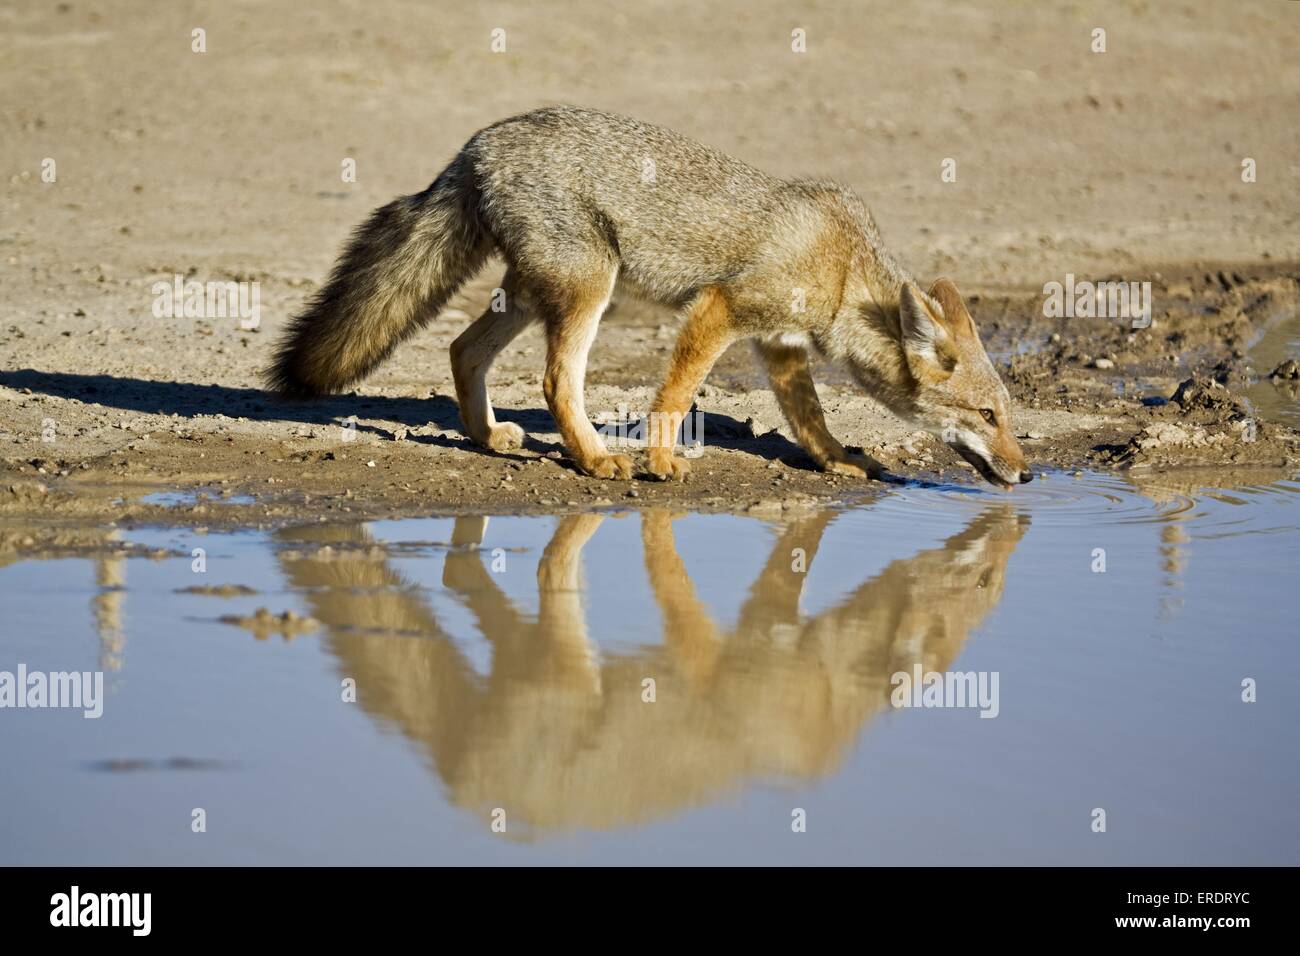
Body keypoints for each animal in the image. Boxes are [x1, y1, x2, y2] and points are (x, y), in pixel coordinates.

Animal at [266, 106, 1034, 486]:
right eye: (988, 416)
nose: (1029, 477)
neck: (845, 268)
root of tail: (479, 142)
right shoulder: (720, 310)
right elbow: (675, 393)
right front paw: (662, 461)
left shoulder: (779, 344)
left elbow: (809, 417)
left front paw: (837, 458)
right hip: (590, 289)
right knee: (556, 380)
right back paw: (594, 458)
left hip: (531, 293)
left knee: (462, 349)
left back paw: (488, 437)